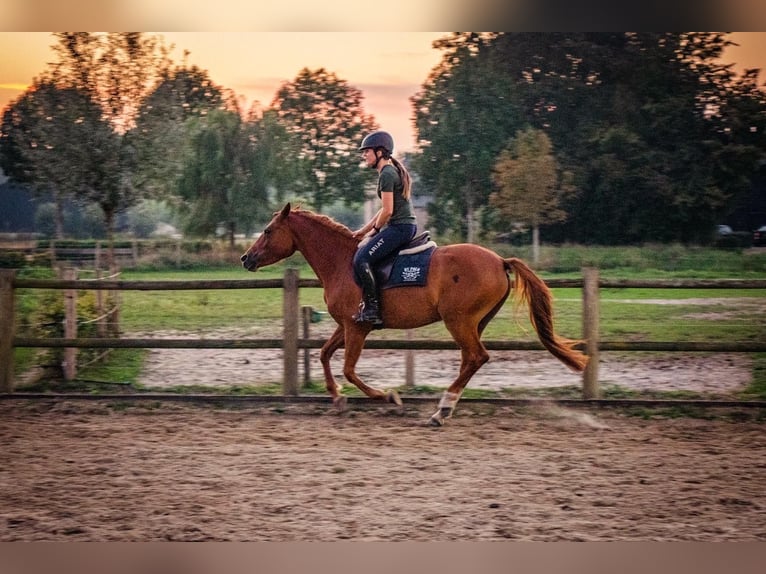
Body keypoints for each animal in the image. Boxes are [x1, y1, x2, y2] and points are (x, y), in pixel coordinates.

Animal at [240, 204, 588, 428]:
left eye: (268, 231)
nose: (245, 258)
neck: (342, 263)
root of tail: (500, 260)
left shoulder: (357, 328)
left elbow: (349, 370)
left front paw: (388, 397)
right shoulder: (347, 325)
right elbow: (324, 355)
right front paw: (337, 399)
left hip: (458, 321)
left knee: (476, 357)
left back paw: (441, 410)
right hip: (474, 323)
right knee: (471, 360)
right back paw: (444, 408)